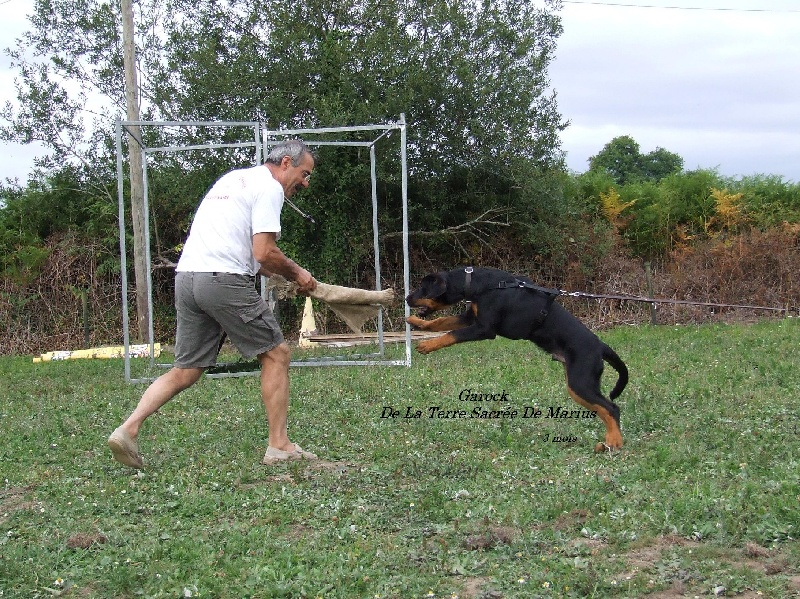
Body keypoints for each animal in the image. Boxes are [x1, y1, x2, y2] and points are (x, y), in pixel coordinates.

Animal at [410, 264, 628, 452]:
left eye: (423, 288)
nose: (406, 298)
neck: (478, 284)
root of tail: (600, 346)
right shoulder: (469, 318)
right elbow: (440, 322)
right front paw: (416, 322)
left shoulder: (484, 329)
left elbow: (451, 334)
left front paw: (427, 345)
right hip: (579, 386)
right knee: (604, 410)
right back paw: (606, 443)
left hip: (580, 383)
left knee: (612, 408)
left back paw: (614, 443)